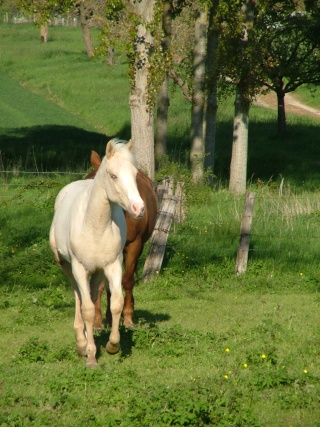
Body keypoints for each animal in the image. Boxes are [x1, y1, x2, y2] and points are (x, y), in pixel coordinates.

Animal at [49, 140, 144, 368]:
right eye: (113, 176)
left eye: (135, 174)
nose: (139, 208)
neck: (95, 225)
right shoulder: (79, 268)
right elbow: (88, 310)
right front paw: (91, 355)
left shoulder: (113, 265)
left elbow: (116, 303)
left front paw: (112, 345)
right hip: (68, 267)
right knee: (79, 296)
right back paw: (81, 343)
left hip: (98, 271)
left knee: (91, 296)